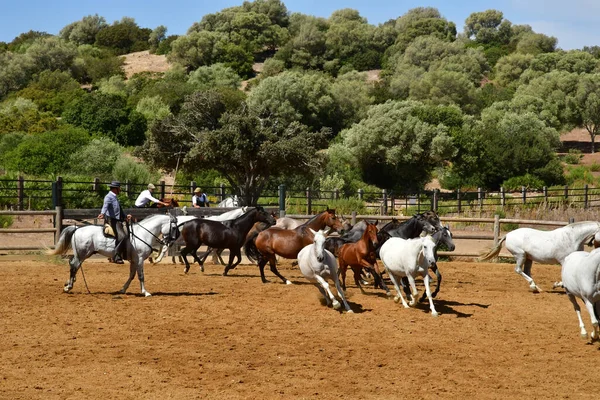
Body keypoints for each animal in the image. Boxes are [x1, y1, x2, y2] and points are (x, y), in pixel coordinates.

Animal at [47, 216, 179, 296]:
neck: (143, 234)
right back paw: (69, 286)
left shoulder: (133, 261)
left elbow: (131, 276)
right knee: (74, 266)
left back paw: (69, 283)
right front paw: (145, 292)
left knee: (73, 265)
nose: (172, 241)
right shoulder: (140, 260)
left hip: (83, 254)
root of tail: (77, 229)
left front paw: (123, 289)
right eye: (174, 227)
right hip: (82, 254)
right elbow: (141, 276)